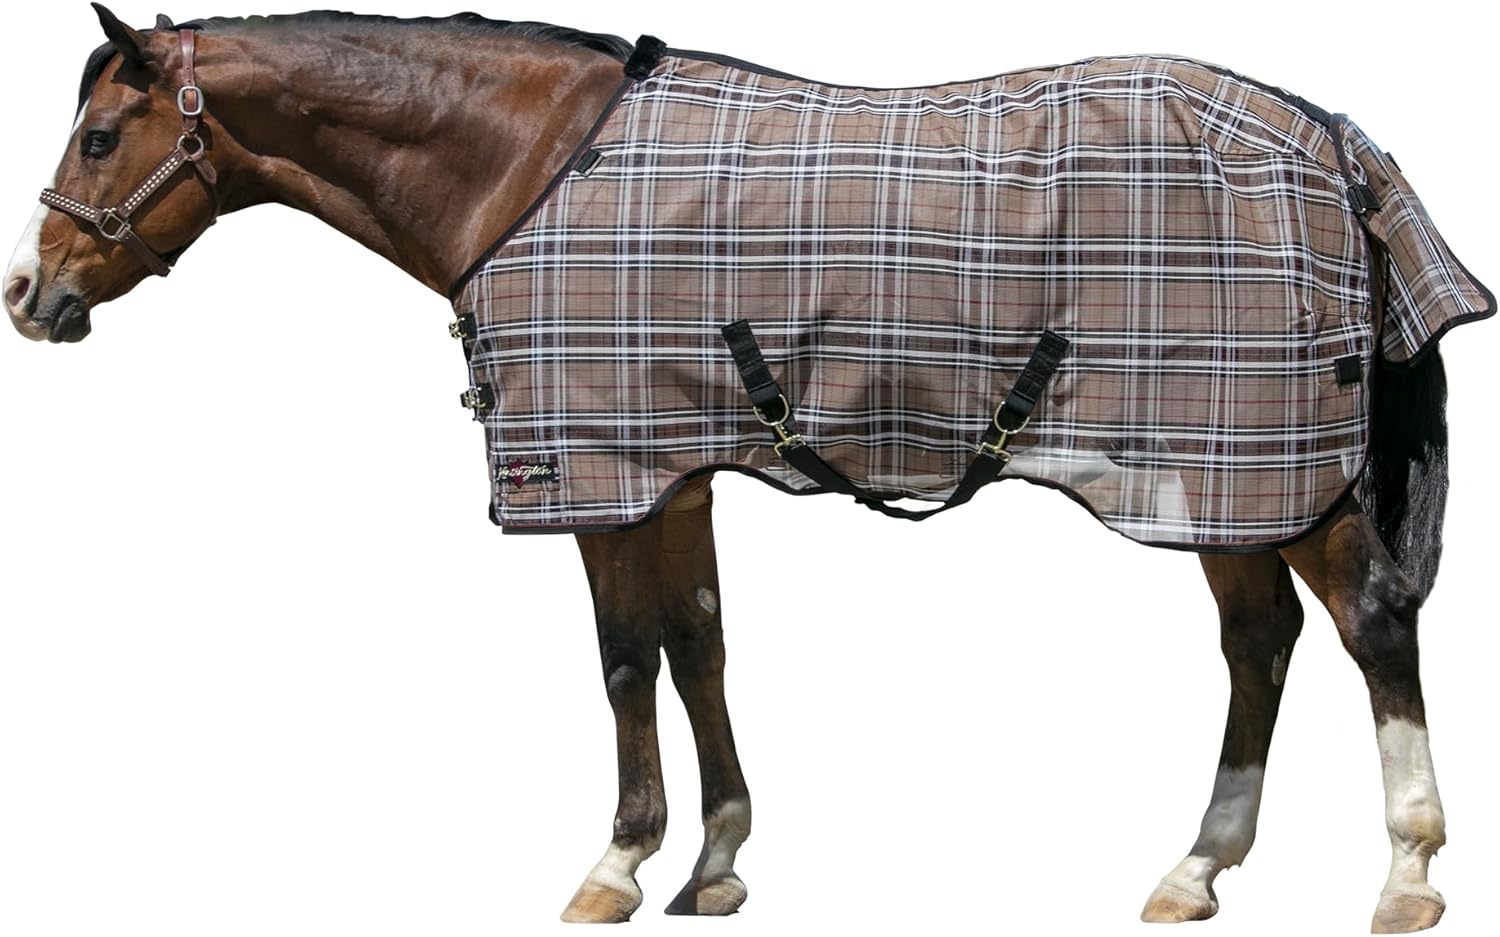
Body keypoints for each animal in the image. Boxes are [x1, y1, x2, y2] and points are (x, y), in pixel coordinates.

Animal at [4, 8, 1491, 931]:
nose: (30, 296)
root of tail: (1331, 135)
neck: (528, 169)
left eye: (98, 138)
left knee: (1369, 623)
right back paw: (1195, 869)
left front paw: (616, 862)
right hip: (1223, 477)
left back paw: (1407, 876)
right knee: (1261, 642)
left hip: (1264, 467)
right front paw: (715, 861)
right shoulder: (673, 468)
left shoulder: (595, 474)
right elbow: (698, 644)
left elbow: (624, 659)